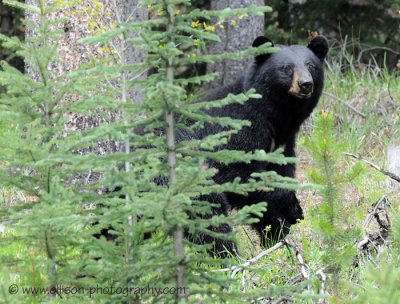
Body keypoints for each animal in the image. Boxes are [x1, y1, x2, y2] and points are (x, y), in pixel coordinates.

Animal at [191, 34, 328, 255]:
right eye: (286, 68)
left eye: (311, 66)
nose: (305, 84)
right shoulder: (238, 134)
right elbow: (243, 175)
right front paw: (293, 209)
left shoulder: (281, 144)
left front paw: (276, 236)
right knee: (210, 223)